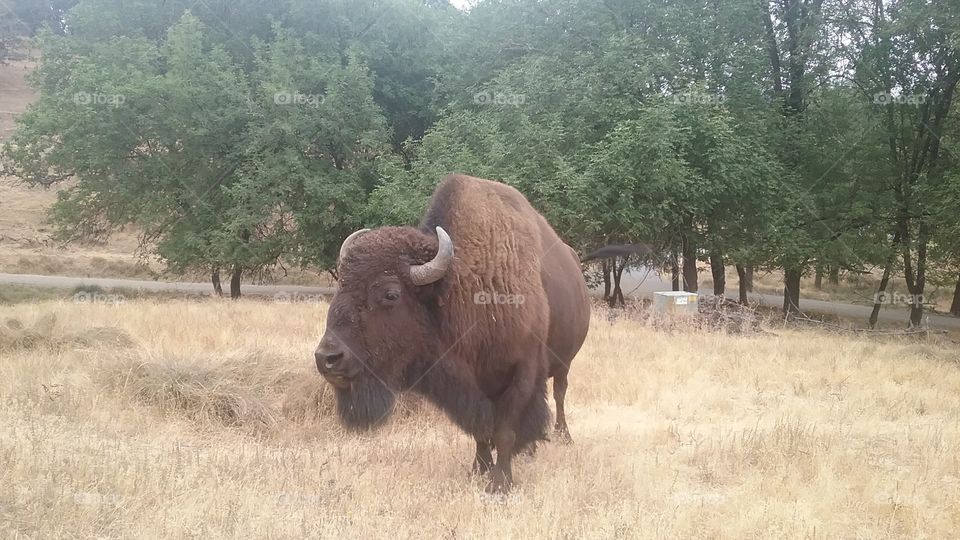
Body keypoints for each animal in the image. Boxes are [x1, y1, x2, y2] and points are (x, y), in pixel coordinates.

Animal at [314, 174, 591, 492]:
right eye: (341, 286)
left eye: (390, 294)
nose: (327, 358)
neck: (463, 286)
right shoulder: (473, 388)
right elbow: (481, 430)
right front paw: (478, 469)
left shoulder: (522, 374)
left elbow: (505, 429)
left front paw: (500, 484)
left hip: (565, 363)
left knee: (559, 393)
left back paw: (563, 437)